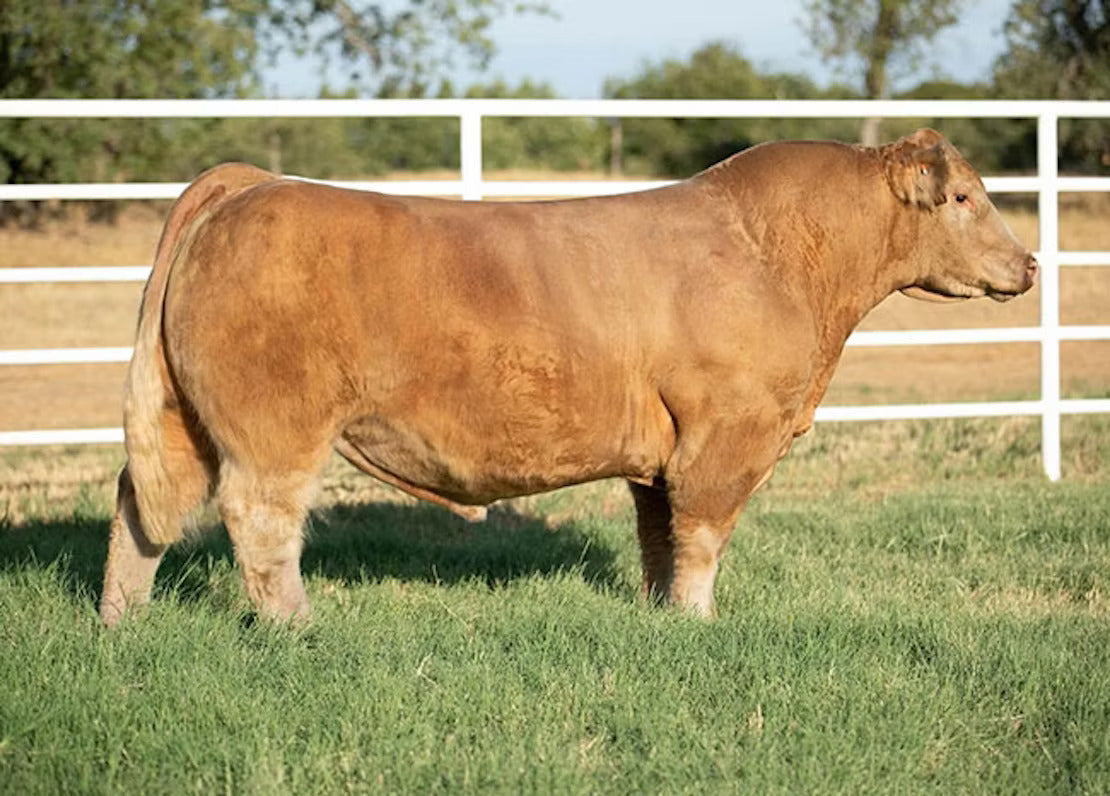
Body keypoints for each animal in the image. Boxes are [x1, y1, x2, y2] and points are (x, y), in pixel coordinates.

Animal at [99, 129, 1037, 626]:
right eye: (963, 198)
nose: (1028, 263)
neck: (781, 256)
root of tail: (250, 186)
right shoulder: (726, 436)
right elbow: (703, 535)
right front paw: (700, 621)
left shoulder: (663, 454)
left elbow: (661, 535)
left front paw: (664, 618)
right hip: (275, 429)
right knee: (260, 520)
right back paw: (296, 630)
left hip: (188, 420)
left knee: (142, 502)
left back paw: (122, 622)